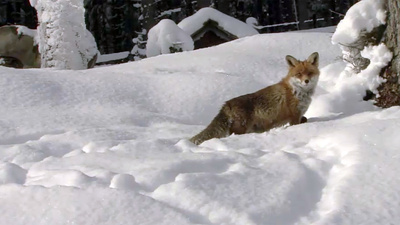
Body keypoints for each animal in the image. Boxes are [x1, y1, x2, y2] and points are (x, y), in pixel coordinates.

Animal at [190, 52, 318, 145]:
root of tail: (226, 104)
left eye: (310, 73)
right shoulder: (294, 116)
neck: (297, 91)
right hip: (241, 129)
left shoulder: (299, 115)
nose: (306, 81)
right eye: (299, 74)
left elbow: (305, 119)